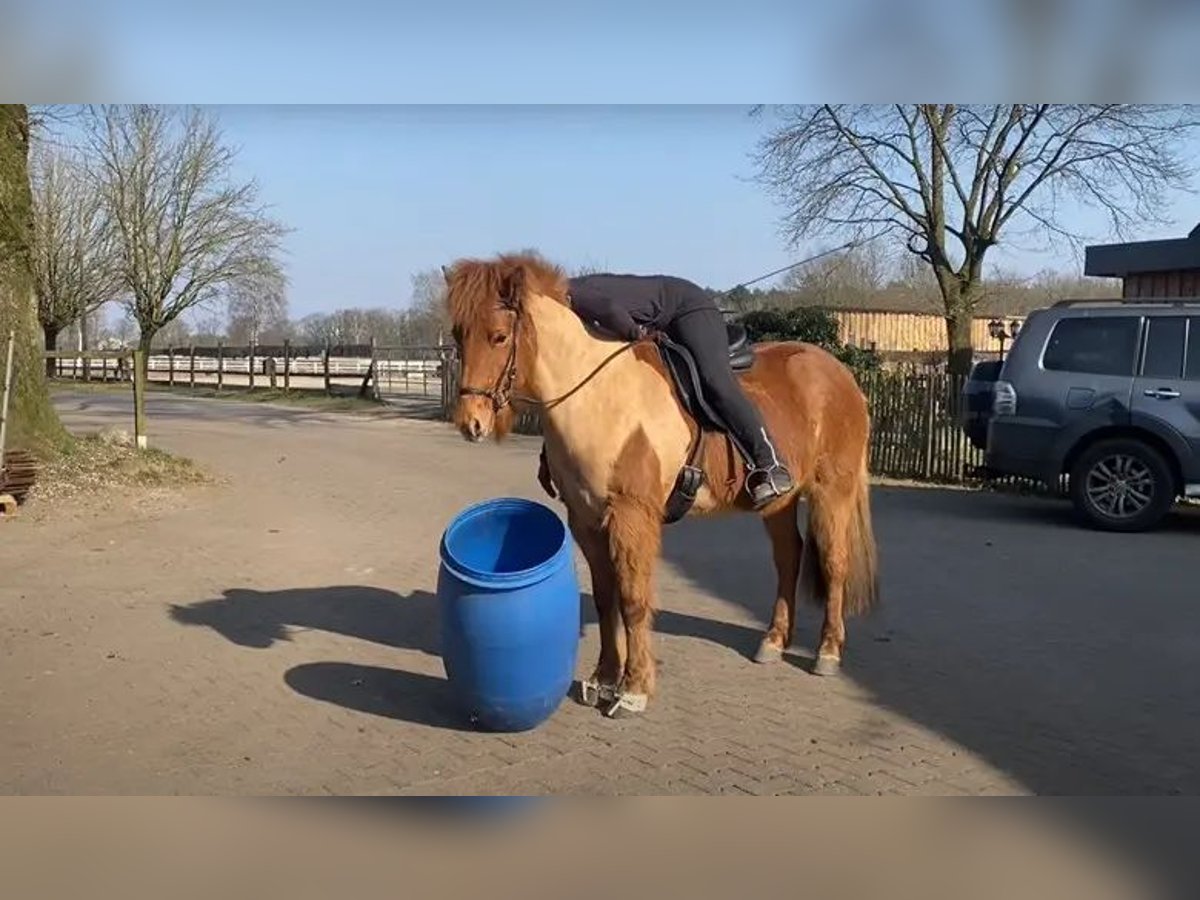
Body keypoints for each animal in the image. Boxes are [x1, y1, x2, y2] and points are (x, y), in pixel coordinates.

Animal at [446, 252, 878, 720]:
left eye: (499, 336)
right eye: (458, 334)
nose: (470, 423)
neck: (597, 396)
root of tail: (839, 373)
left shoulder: (632, 516)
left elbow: (633, 599)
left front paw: (633, 689)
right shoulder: (586, 519)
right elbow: (606, 597)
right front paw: (603, 678)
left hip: (831, 492)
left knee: (834, 562)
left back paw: (828, 652)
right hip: (780, 503)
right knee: (788, 558)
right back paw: (774, 641)